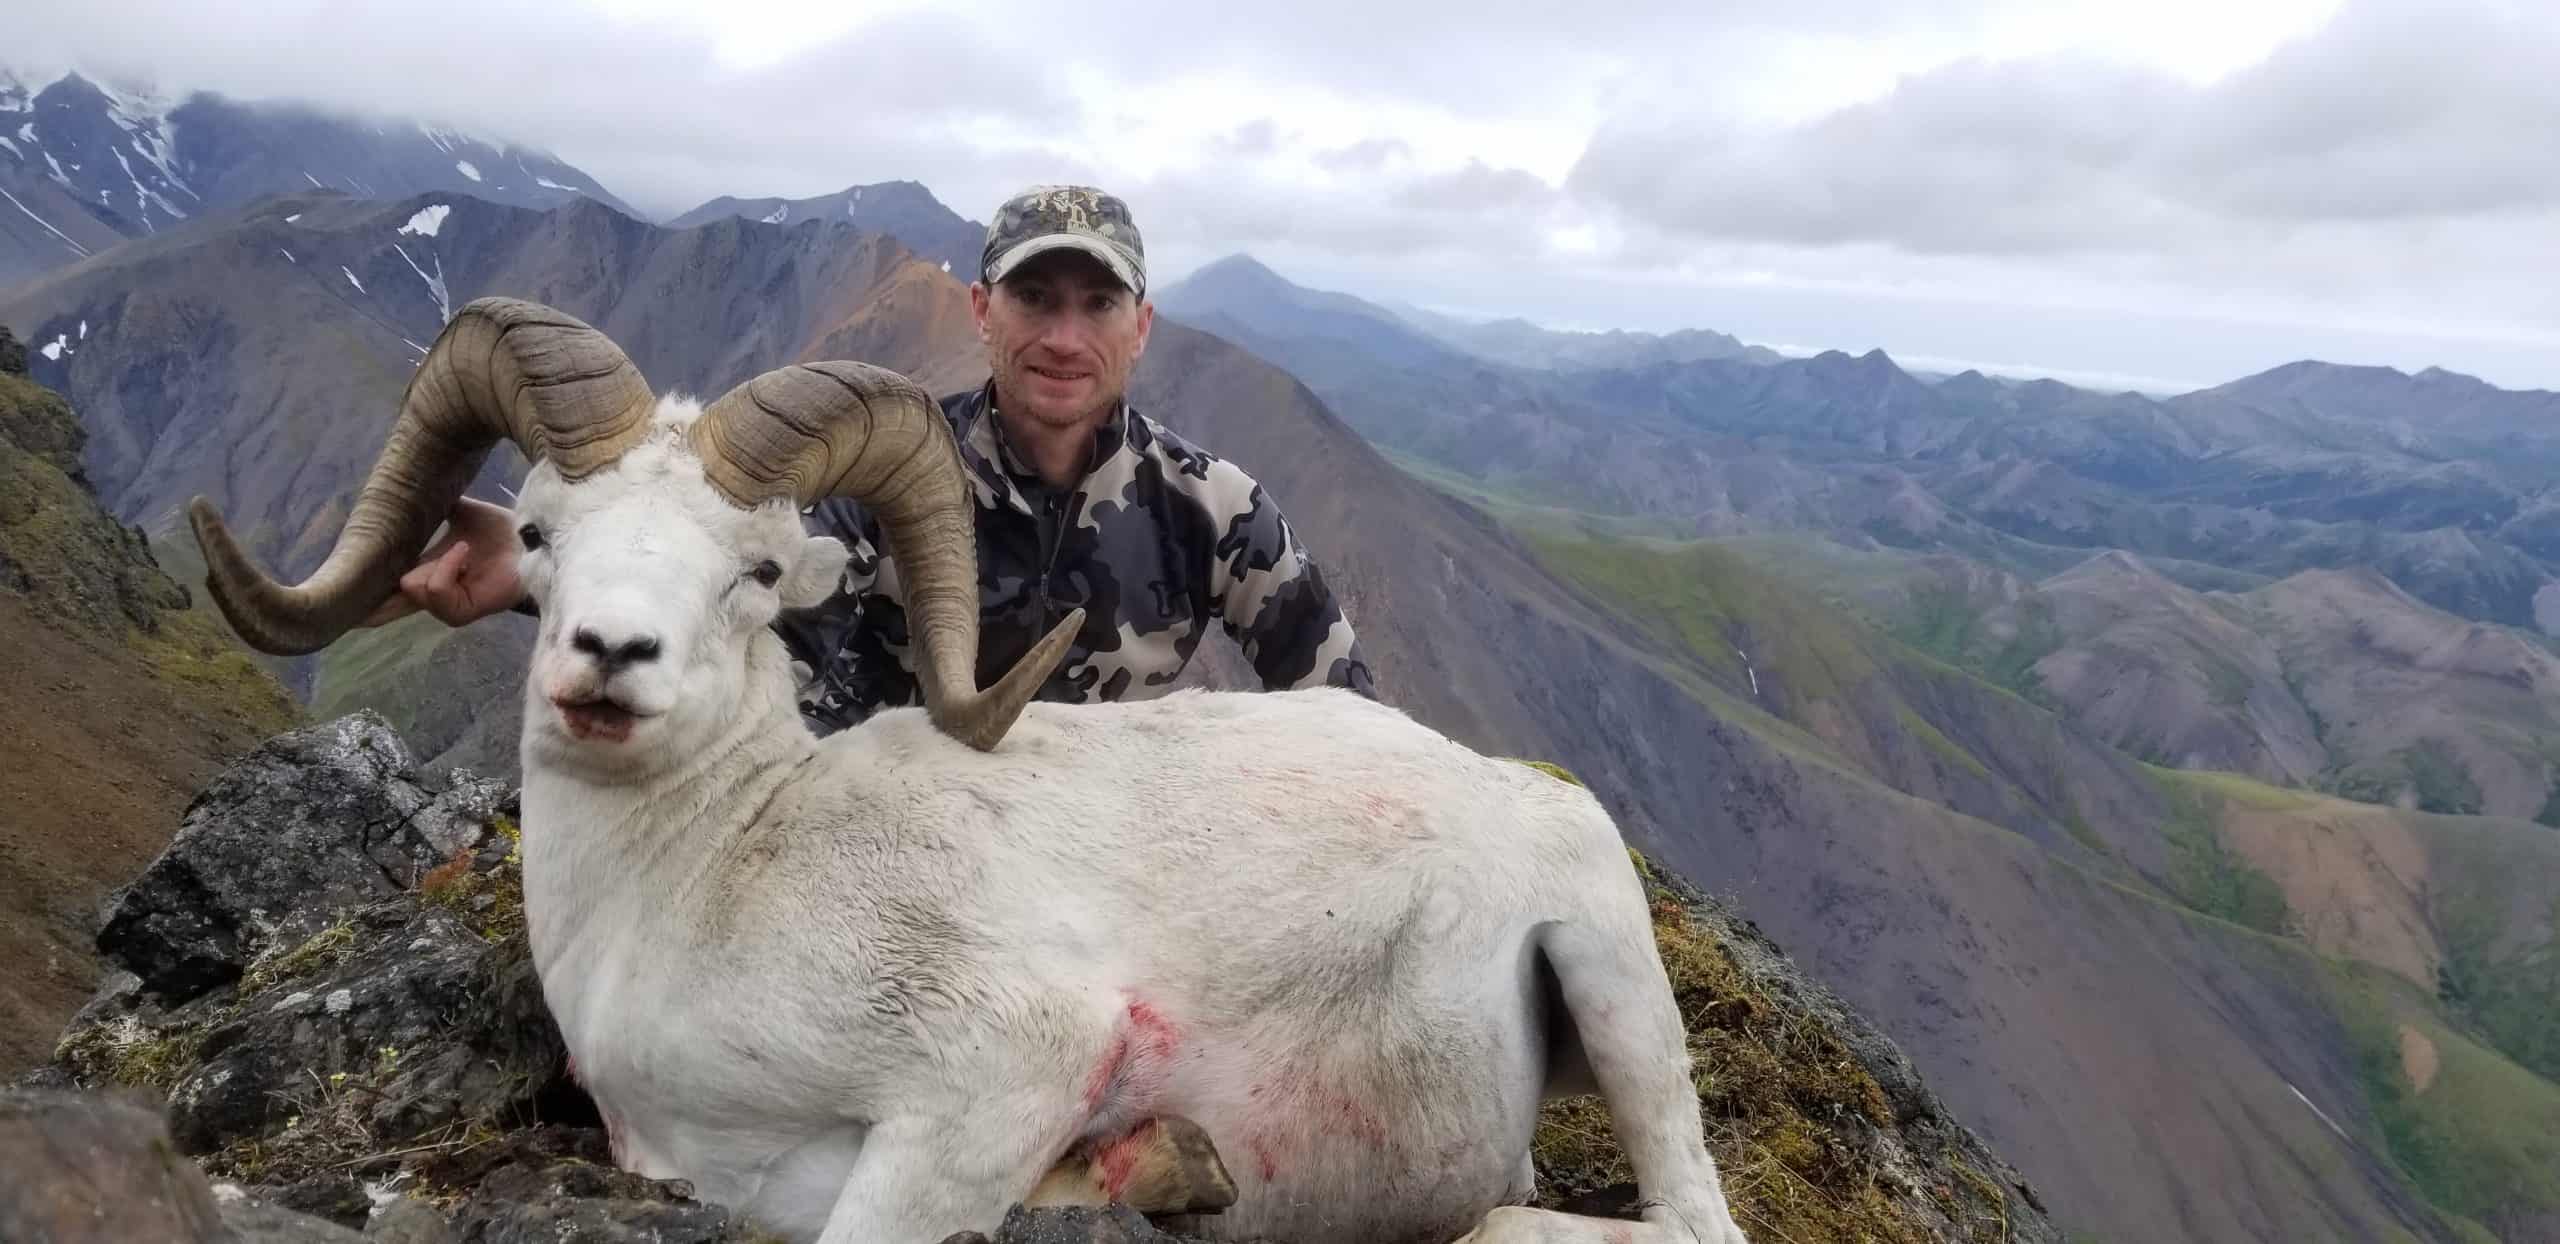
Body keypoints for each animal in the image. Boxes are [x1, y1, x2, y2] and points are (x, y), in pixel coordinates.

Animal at [189, 299, 1751, 1244]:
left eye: (756, 572)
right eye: (537, 536)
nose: (608, 657)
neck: (696, 886)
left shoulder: (1000, 1068)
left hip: (1610, 979)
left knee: (1667, 1220)